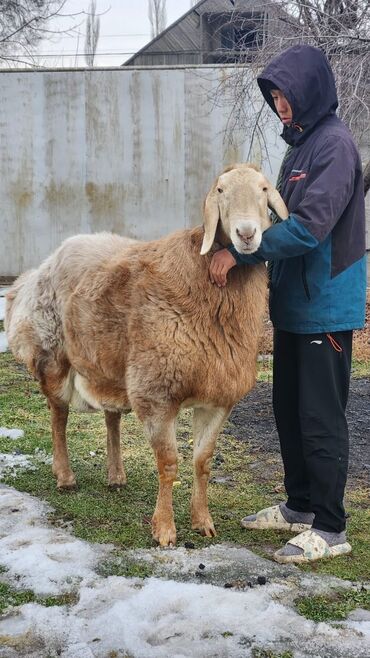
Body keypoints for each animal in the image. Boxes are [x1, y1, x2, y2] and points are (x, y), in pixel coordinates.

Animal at [6, 163, 290, 544]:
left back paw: (116, 475)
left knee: (111, 416)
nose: (246, 233)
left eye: (264, 189)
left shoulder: (218, 397)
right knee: (58, 415)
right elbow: (169, 464)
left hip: (109, 363)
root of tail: (41, 267)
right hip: (53, 356)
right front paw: (165, 530)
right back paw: (65, 476)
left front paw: (202, 521)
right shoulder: (157, 393)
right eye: (220, 190)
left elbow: (203, 461)